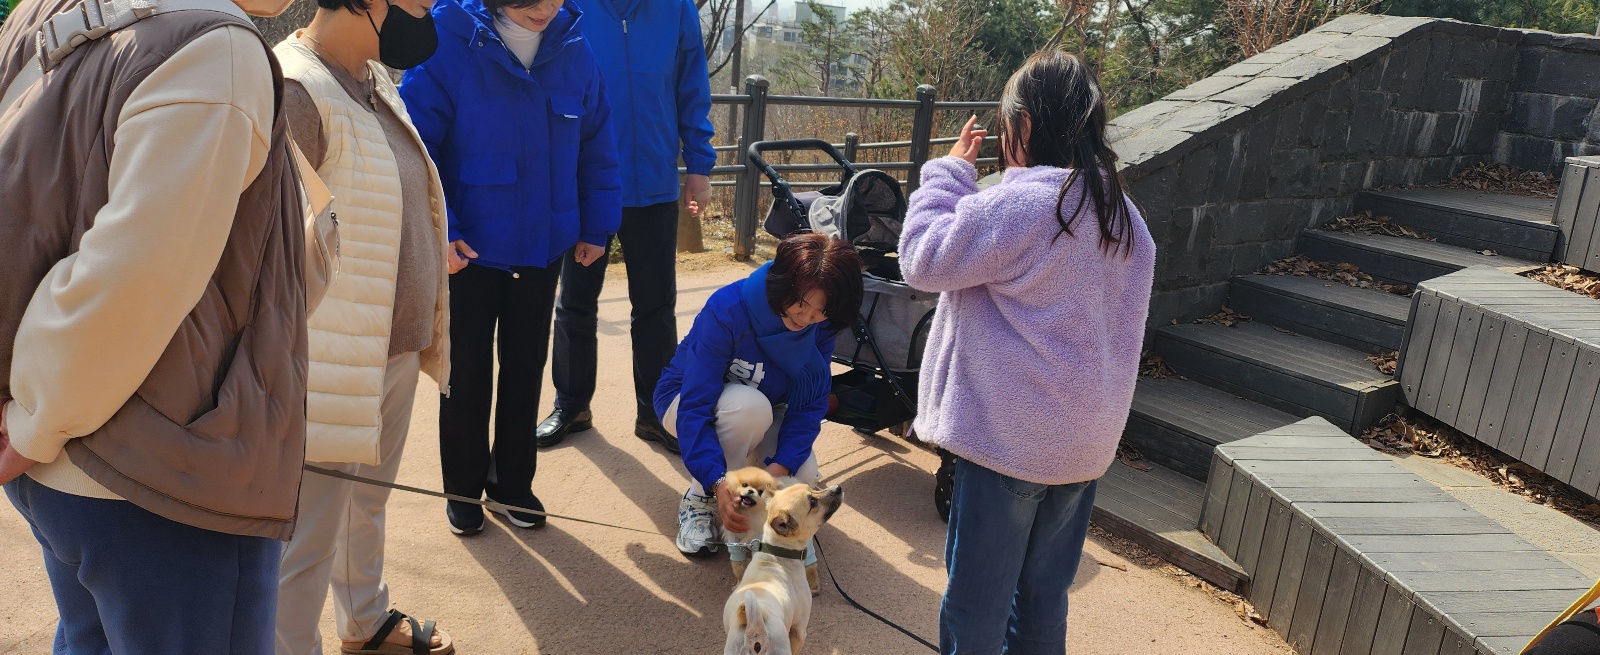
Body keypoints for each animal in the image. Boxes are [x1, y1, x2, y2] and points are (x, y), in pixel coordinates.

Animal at [722, 483, 843, 655]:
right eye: (812, 502)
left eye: (811, 488)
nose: (838, 487)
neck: (777, 552)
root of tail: (754, 628)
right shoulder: (799, 629)